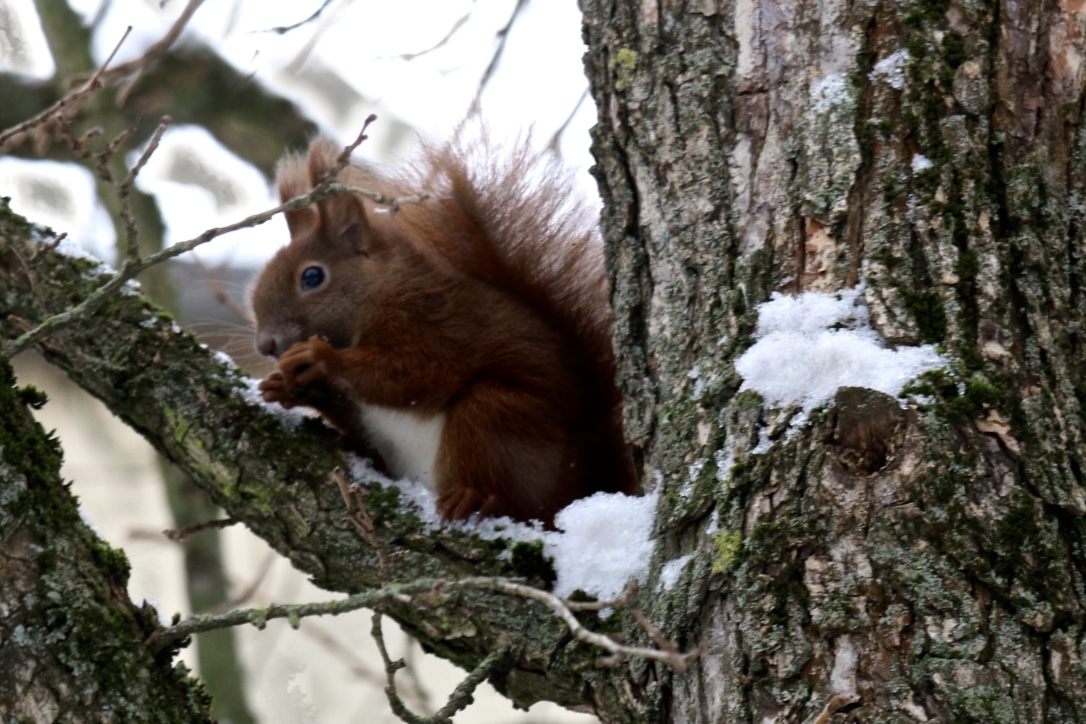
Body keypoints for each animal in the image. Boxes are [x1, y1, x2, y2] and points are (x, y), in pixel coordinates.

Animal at [249, 132, 634, 523]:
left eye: (312, 277)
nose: (266, 345)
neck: (379, 291)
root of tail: (585, 479)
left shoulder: (433, 323)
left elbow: (415, 373)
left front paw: (320, 358)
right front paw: (286, 386)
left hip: (500, 415)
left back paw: (475, 498)